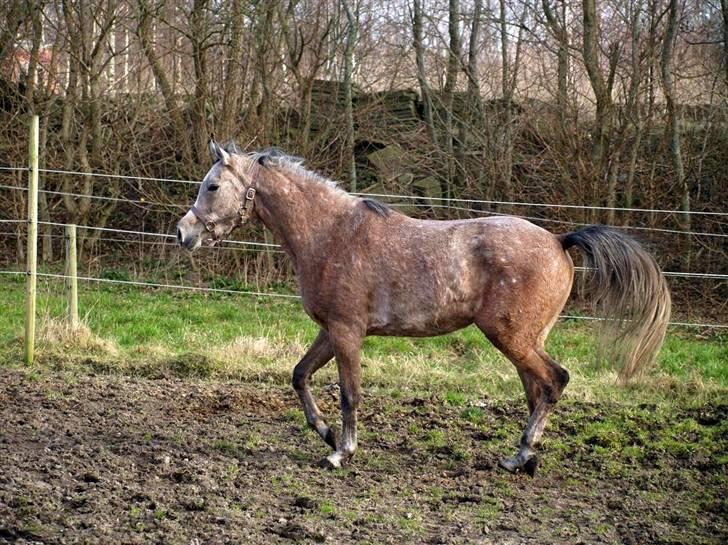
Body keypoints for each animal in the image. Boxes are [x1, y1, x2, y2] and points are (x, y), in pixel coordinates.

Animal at [176, 141, 672, 476]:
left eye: (212, 185)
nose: (184, 233)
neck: (331, 234)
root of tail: (558, 240)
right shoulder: (330, 330)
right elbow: (300, 375)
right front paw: (326, 433)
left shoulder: (347, 332)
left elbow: (350, 393)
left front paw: (342, 451)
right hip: (526, 338)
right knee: (537, 389)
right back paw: (521, 458)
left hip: (509, 335)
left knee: (554, 381)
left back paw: (522, 455)